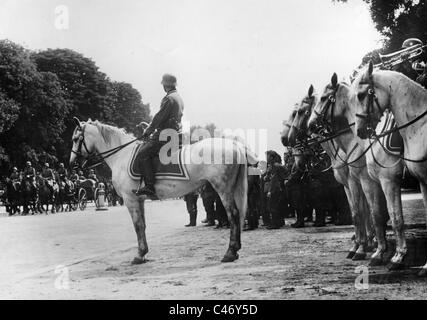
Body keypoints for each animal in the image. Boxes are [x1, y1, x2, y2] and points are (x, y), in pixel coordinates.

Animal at [68, 119, 256, 264]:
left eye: (77, 138)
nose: (72, 164)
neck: (122, 154)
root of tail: (235, 145)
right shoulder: (139, 199)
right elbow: (143, 225)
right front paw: (143, 253)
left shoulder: (130, 199)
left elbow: (137, 226)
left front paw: (139, 255)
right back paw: (235, 250)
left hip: (223, 189)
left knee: (233, 215)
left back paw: (230, 252)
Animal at [356, 63, 427, 278]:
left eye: (361, 95)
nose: (360, 130)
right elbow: (377, 215)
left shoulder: (388, 181)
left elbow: (395, 218)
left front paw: (398, 258)